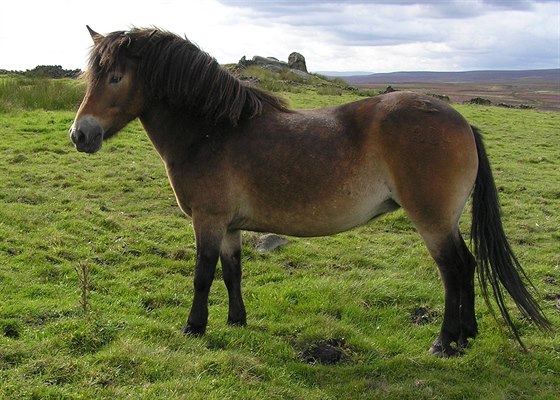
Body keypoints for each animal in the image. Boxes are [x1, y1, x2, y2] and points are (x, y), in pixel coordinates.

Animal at [71, 26, 552, 354]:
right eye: (89, 77)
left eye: (115, 77)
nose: (81, 135)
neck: (213, 131)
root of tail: (461, 121)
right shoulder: (229, 226)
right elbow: (232, 272)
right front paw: (236, 321)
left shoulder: (208, 221)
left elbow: (202, 275)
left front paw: (194, 327)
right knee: (468, 267)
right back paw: (467, 337)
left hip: (432, 221)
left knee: (453, 270)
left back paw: (445, 342)